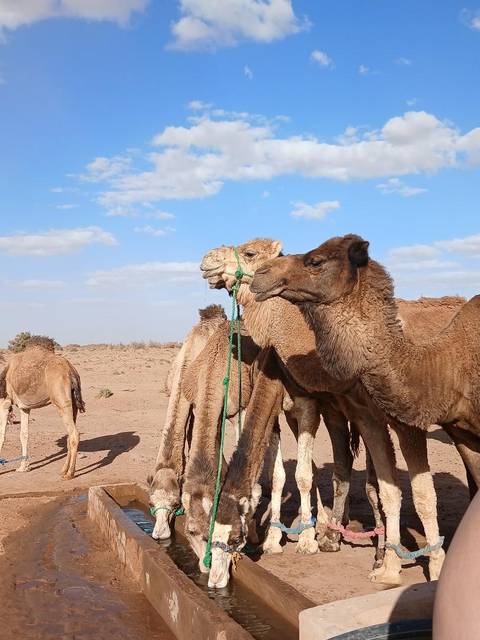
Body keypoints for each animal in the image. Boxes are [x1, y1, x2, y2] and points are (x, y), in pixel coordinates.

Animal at [0, 336, 85, 479]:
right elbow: (24, 434)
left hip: (61, 401)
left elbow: (2, 434)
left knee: (74, 434)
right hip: (73, 404)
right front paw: (23, 467)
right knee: (69, 435)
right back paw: (63, 470)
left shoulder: (5, 402)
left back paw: (69, 474)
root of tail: (71, 371)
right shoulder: (24, 407)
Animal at [201, 239, 456, 588]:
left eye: (250, 252)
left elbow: (323, 476)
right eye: (208, 533)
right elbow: (300, 473)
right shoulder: (317, 408)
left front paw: (314, 541)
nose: (206, 261)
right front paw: (292, 538)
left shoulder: (328, 406)